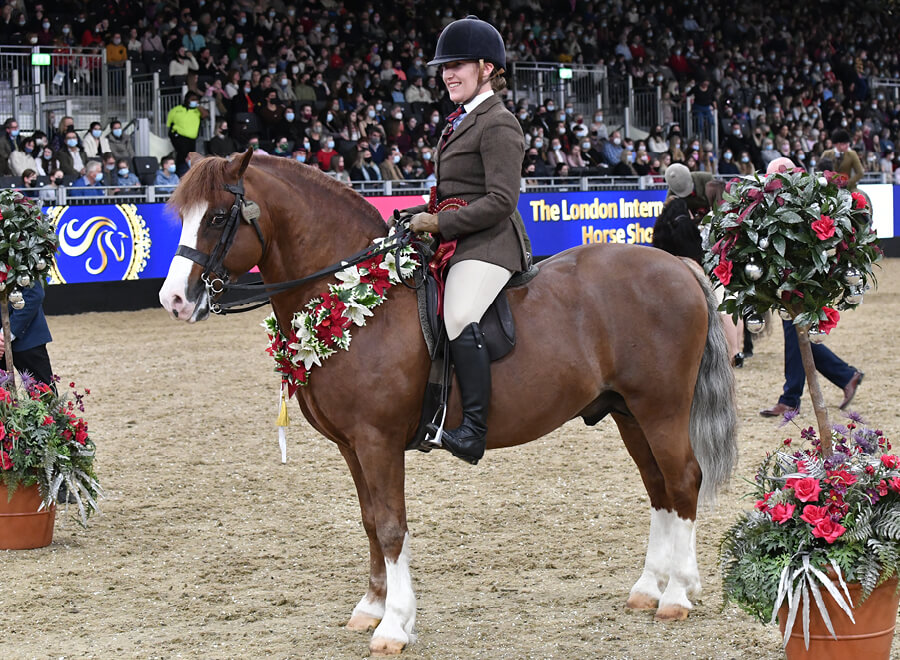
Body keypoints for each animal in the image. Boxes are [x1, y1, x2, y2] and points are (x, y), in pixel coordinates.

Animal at [160, 151, 740, 656]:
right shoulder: (352, 446)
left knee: (683, 479)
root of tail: (677, 265)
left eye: (217, 216)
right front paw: (371, 607)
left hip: (661, 409)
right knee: (659, 487)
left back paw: (677, 595)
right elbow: (370, 521)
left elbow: (391, 525)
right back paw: (648, 588)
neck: (353, 298)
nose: (174, 300)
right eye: (182, 216)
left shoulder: (377, 441)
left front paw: (394, 626)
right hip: (627, 413)